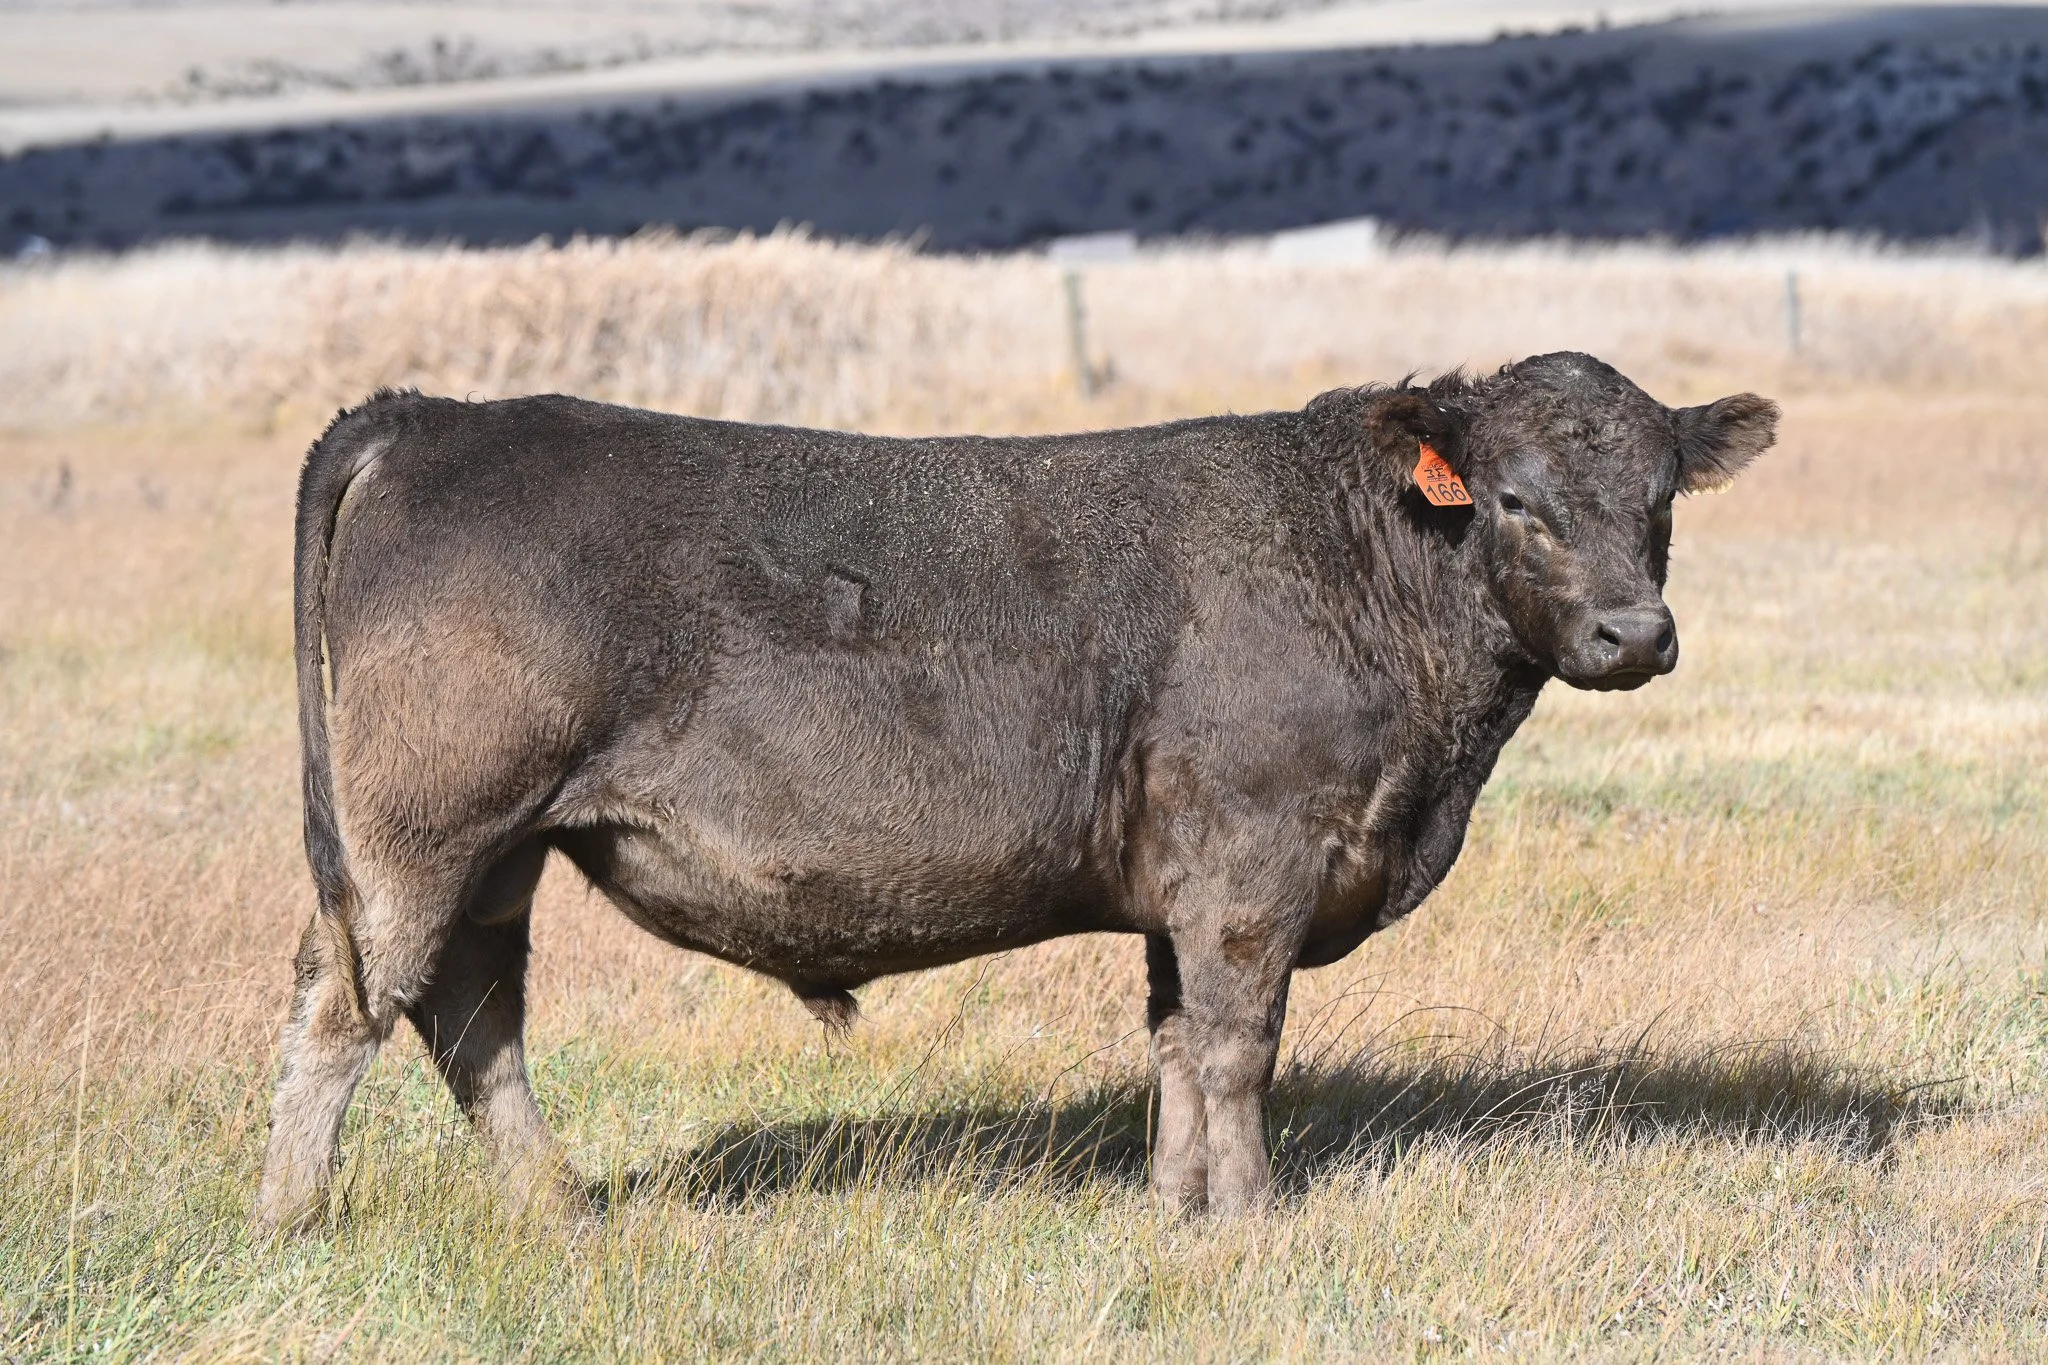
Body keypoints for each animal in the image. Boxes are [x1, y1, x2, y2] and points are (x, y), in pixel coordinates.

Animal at [253, 352, 1777, 1232]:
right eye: (1514, 499)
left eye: (1659, 499)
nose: (1631, 634)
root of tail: (424, 417)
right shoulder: (1253, 866)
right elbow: (1238, 1047)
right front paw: (1257, 1220)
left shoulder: (1180, 890)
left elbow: (1173, 1046)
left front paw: (1174, 1207)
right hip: (424, 829)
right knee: (347, 1005)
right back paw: (292, 1219)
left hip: (501, 851)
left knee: (470, 1016)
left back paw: (561, 1208)